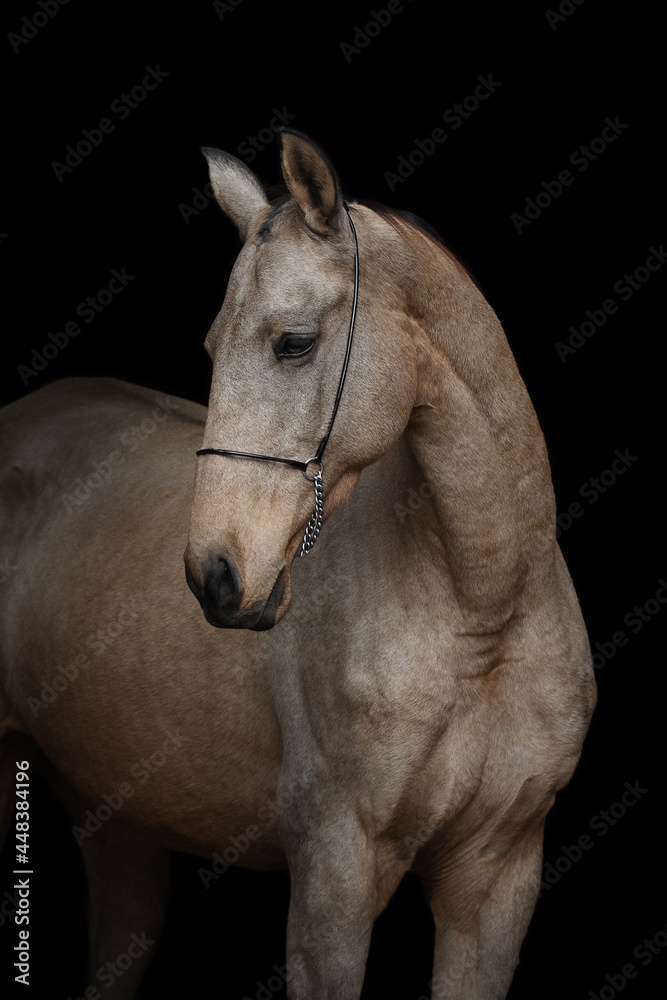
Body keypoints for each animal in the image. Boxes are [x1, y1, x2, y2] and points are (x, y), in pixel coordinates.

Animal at [0, 129, 596, 999]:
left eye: (294, 342)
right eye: (211, 347)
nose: (215, 575)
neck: (481, 613)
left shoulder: (495, 882)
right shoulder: (332, 881)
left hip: (120, 828)